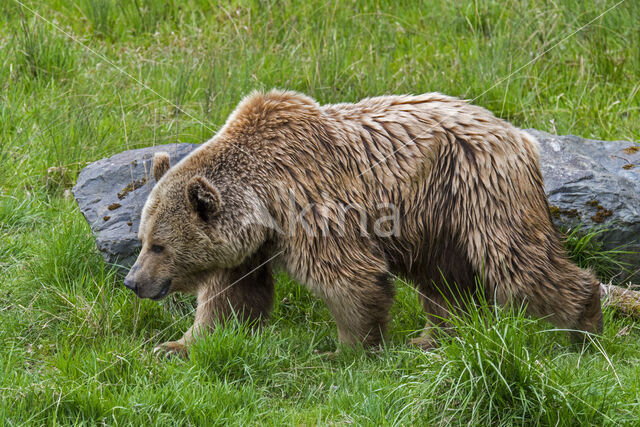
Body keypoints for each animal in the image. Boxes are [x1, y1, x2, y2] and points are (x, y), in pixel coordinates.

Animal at [122, 91, 604, 358]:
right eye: (142, 239)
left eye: (159, 245)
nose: (133, 282)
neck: (265, 202)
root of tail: (516, 133)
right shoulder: (250, 248)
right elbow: (229, 299)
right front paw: (175, 346)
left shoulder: (311, 206)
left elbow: (349, 277)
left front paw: (345, 351)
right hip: (436, 220)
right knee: (446, 279)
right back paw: (436, 337)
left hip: (478, 187)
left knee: (518, 261)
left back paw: (583, 326)